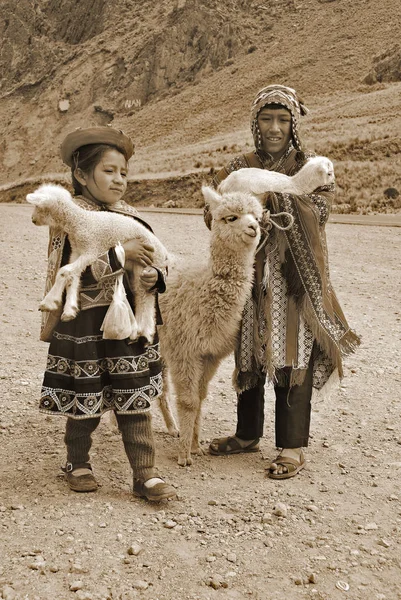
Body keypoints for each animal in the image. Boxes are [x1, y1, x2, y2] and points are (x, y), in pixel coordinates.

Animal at [26, 183, 167, 342]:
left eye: (38, 206)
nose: (33, 219)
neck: (79, 221)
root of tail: (164, 253)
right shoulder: (77, 252)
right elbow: (72, 277)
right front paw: (69, 310)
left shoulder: (91, 249)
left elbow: (64, 271)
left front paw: (49, 302)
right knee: (142, 296)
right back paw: (138, 332)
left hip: (146, 265)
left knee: (145, 300)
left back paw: (143, 332)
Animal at [158, 185, 264, 466]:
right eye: (231, 217)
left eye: (257, 217)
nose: (254, 228)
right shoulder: (184, 349)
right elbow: (188, 401)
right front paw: (184, 456)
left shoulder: (209, 354)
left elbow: (200, 397)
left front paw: (195, 445)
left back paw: (172, 427)